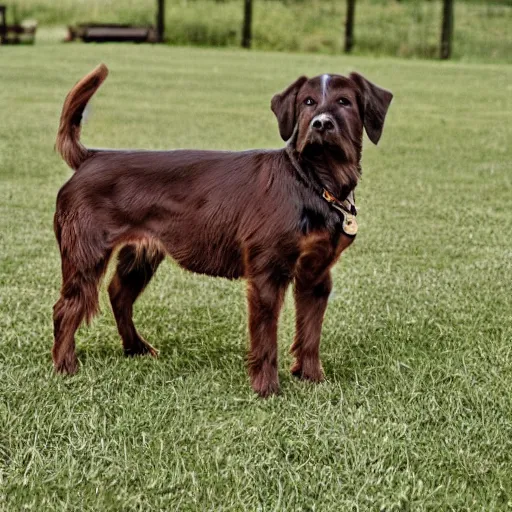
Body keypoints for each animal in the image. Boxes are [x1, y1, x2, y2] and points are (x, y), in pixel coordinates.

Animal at [52, 65, 392, 396]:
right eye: (308, 102)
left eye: (344, 102)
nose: (321, 124)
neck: (313, 180)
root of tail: (90, 157)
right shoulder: (267, 273)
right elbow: (266, 338)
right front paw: (267, 388)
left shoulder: (317, 275)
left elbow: (310, 333)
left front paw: (312, 378)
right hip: (86, 254)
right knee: (66, 308)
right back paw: (65, 366)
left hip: (141, 253)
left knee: (119, 295)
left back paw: (135, 348)